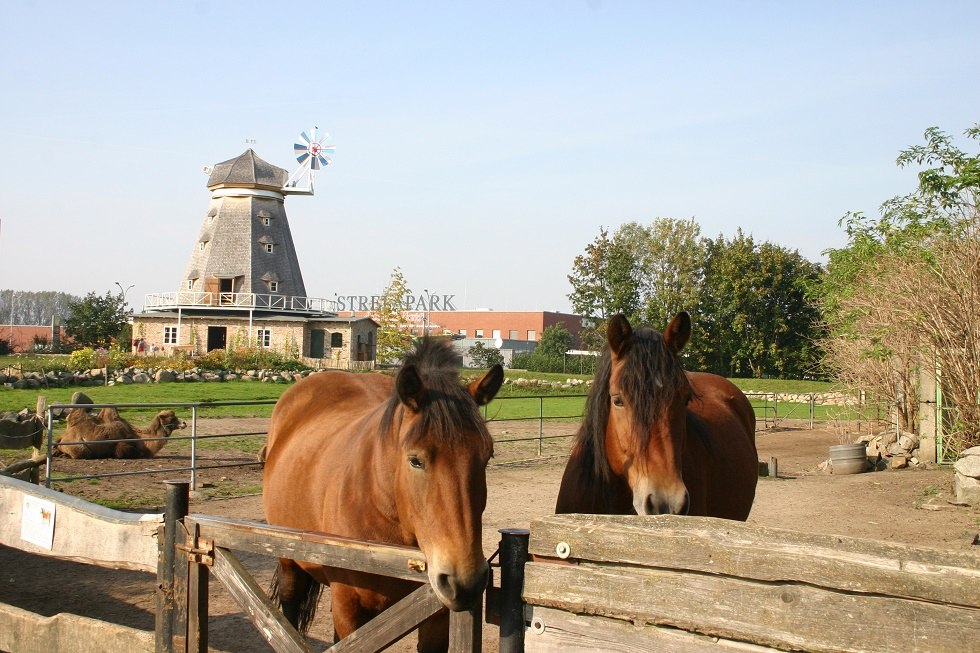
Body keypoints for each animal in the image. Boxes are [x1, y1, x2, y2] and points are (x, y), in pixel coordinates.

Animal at [56, 392, 188, 458]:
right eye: (171, 417)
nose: (184, 423)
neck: (142, 439)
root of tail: (63, 437)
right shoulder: (122, 445)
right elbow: (128, 452)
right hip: (79, 448)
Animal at [262, 338, 502, 648]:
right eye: (415, 460)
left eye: (487, 456)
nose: (465, 581)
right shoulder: (349, 608)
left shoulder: (435, 614)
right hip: (288, 561)